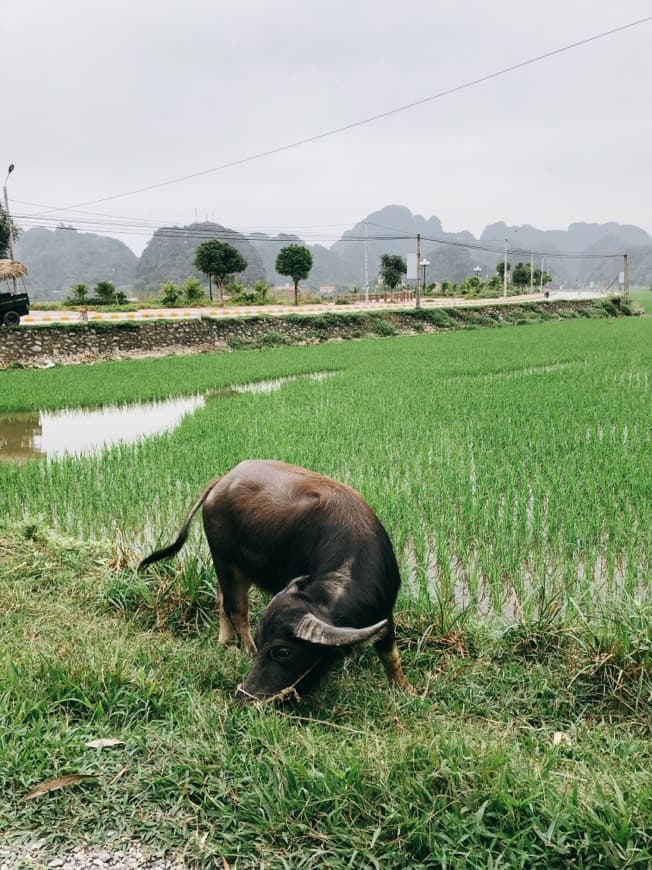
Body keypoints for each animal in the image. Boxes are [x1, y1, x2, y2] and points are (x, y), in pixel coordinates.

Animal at [141, 460, 410, 704]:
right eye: (264, 643)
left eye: (282, 651)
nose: (244, 698)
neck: (352, 556)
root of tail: (223, 480)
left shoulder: (385, 611)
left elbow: (391, 656)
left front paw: (404, 690)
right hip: (226, 562)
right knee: (237, 609)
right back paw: (244, 648)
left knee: (221, 599)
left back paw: (224, 641)